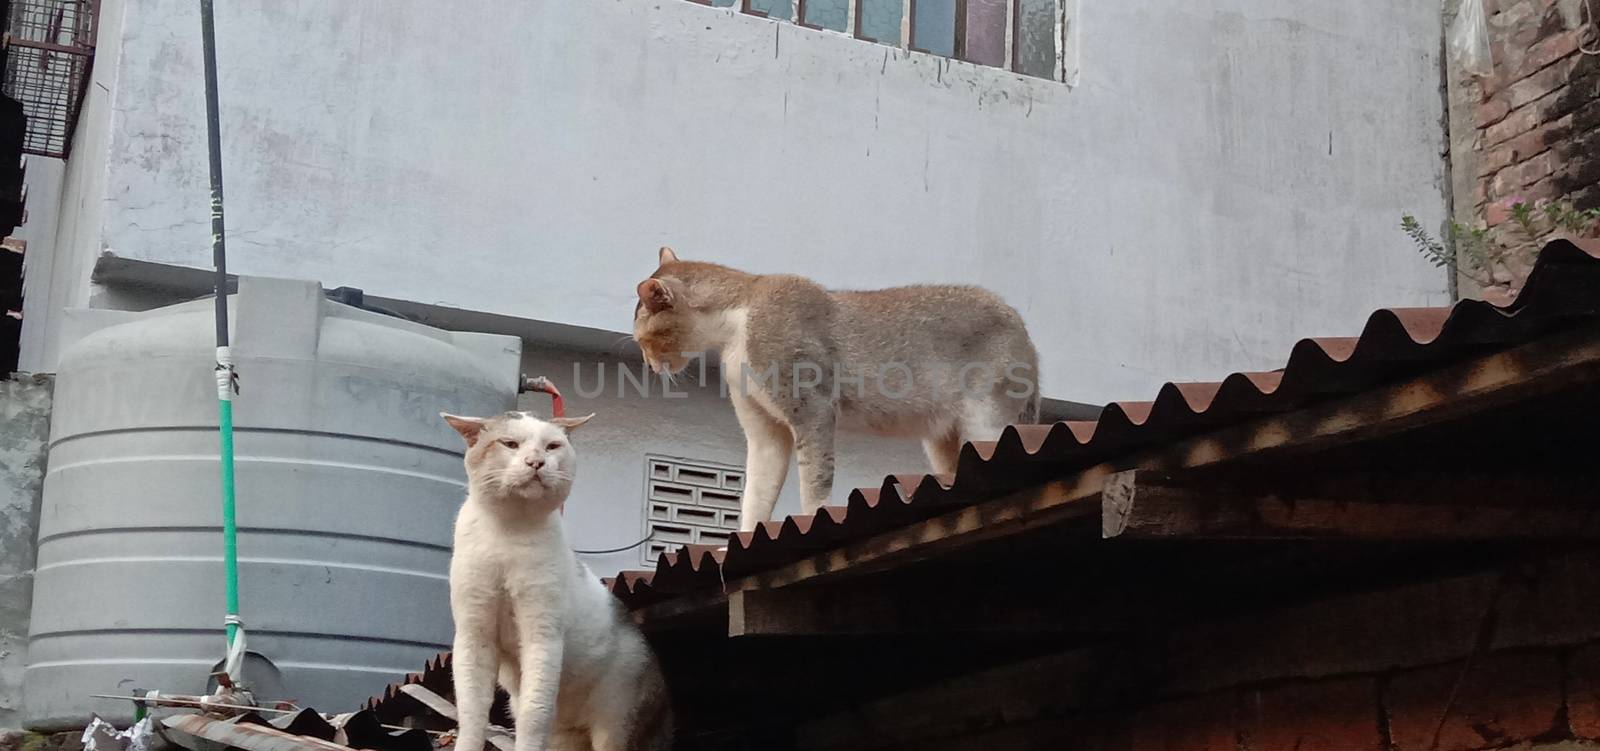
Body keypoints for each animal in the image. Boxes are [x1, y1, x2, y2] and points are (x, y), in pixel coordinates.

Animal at [441, 409, 672, 749]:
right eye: (510, 444)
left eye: (551, 446)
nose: (536, 461)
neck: (508, 531)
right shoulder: (474, 634)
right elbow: (471, 713)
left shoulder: (542, 633)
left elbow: (533, 714)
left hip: (616, 725)